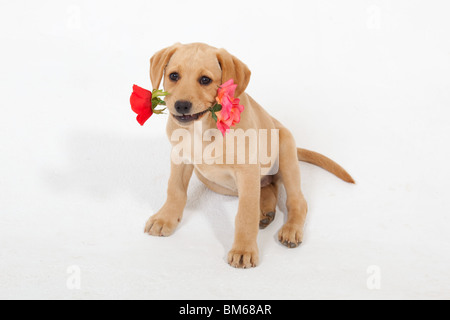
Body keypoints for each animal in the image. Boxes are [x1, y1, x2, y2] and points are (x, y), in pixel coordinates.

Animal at [144, 42, 356, 268]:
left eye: (205, 80)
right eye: (174, 76)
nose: (181, 105)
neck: (203, 127)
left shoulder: (246, 170)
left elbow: (246, 213)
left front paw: (243, 249)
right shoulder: (180, 157)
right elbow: (174, 190)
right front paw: (164, 219)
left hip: (286, 152)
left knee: (297, 200)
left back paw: (290, 229)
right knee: (268, 187)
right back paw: (265, 213)